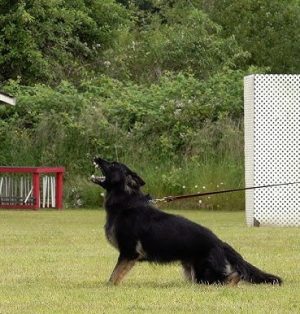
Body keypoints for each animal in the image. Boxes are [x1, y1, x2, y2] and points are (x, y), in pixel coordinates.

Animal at [91, 158, 282, 286]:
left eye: (112, 164)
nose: (97, 157)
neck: (126, 203)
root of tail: (219, 242)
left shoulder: (128, 253)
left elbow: (113, 277)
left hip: (205, 275)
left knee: (234, 277)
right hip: (193, 272)